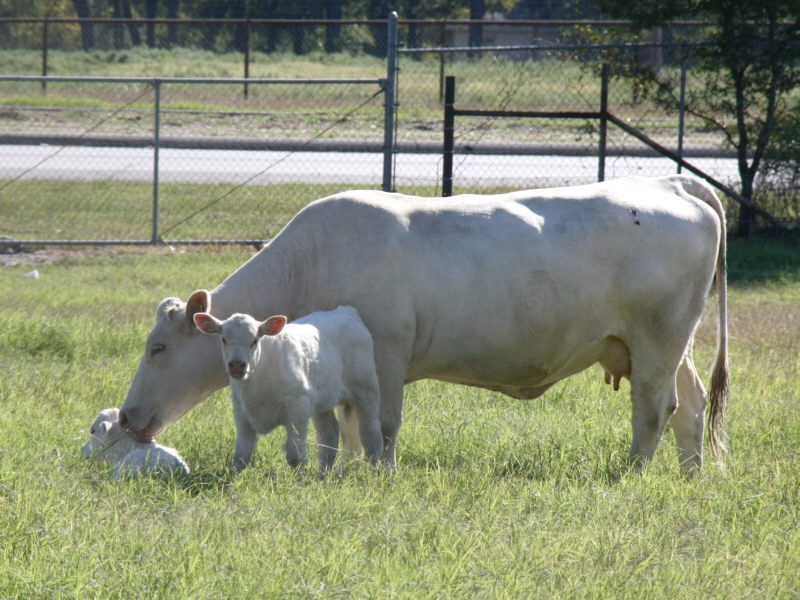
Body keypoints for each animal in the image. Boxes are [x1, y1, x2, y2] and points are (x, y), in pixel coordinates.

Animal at [192, 304, 382, 474]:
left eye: (254, 340)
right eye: (223, 339)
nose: (237, 365)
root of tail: (346, 311)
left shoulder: (297, 410)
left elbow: (295, 456)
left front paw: (299, 484)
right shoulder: (242, 415)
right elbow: (241, 455)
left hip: (366, 389)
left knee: (370, 434)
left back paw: (374, 472)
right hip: (322, 401)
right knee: (329, 435)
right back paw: (323, 475)